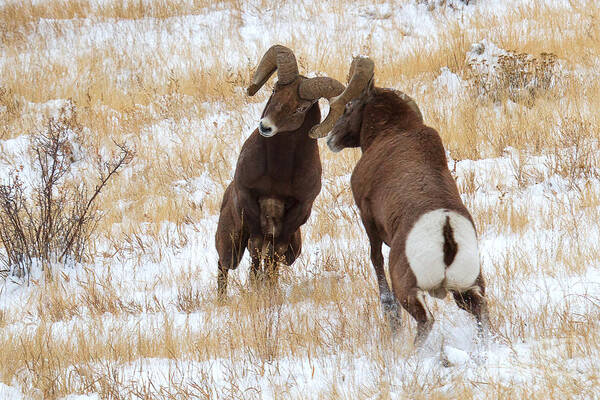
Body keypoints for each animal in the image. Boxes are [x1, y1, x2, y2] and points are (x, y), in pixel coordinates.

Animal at [217, 44, 344, 296]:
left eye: (301, 107)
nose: (265, 127)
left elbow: (274, 254)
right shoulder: (249, 201)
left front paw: (268, 289)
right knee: (224, 265)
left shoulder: (298, 213)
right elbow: (256, 248)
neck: (278, 172)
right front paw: (256, 287)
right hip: (231, 243)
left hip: (294, 249)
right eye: (275, 88)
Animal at [312, 57, 490, 346]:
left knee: (426, 320)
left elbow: (375, 260)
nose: (331, 140)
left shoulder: (368, 219)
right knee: (481, 311)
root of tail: (446, 230)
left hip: (409, 287)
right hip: (468, 289)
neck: (392, 131)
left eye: (348, 107)